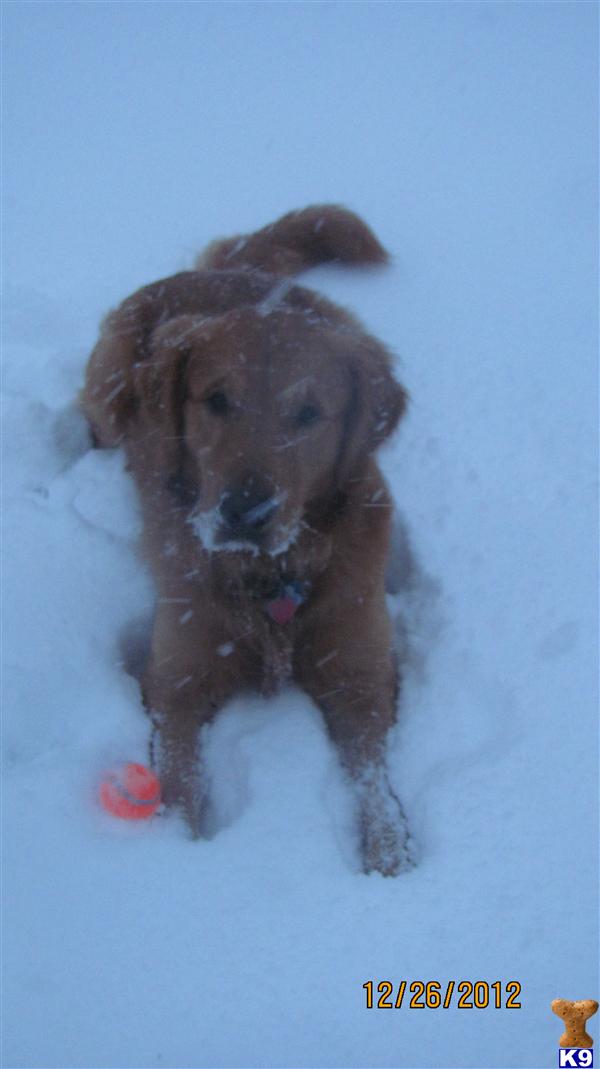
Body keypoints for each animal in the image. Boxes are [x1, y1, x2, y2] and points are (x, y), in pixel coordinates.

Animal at [81, 206, 414, 876]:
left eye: (309, 413)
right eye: (215, 400)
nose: (244, 511)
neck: (272, 576)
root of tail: (226, 272)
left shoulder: (362, 671)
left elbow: (372, 776)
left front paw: (390, 853)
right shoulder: (178, 676)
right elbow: (177, 774)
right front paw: (171, 848)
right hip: (109, 382)